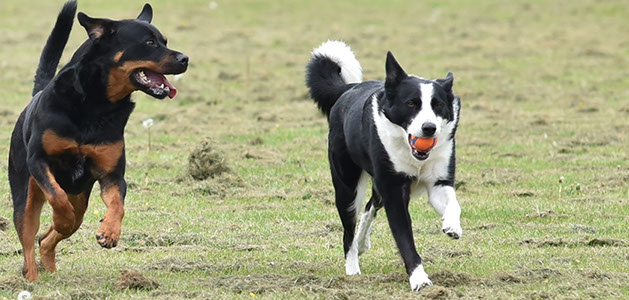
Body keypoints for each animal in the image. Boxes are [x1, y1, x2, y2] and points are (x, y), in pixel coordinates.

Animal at [9, 0, 186, 282]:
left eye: (165, 41)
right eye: (149, 43)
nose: (185, 59)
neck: (97, 104)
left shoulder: (111, 174)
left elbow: (117, 204)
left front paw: (109, 232)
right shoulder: (39, 161)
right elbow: (56, 197)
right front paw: (62, 217)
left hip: (80, 196)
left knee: (49, 237)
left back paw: (51, 269)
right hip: (24, 193)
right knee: (29, 238)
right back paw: (32, 277)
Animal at [304, 41, 462, 292]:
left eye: (437, 105)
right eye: (411, 103)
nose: (429, 128)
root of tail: (348, 89)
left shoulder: (438, 183)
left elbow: (454, 204)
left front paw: (452, 226)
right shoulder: (394, 192)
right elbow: (405, 239)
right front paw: (419, 280)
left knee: (370, 206)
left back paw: (362, 243)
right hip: (347, 188)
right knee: (348, 232)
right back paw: (352, 270)